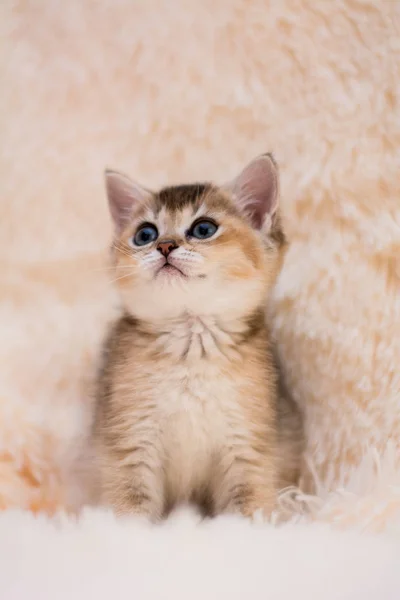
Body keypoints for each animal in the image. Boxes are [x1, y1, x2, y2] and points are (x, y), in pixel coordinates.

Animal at [93, 155, 300, 520]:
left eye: (204, 229)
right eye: (145, 234)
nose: (164, 245)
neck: (191, 348)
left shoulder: (248, 449)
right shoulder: (130, 444)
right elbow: (130, 510)